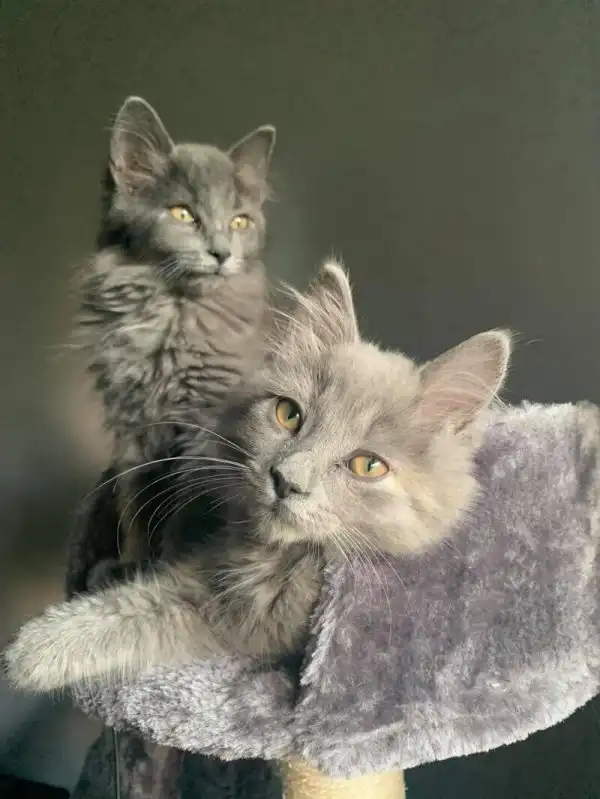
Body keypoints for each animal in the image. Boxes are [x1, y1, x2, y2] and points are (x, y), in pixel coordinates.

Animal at [5, 260, 511, 692]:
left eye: (368, 466)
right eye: (289, 415)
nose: (286, 480)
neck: (268, 551)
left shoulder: (241, 618)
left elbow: (140, 613)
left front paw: (34, 650)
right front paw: (114, 568)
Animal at [68, 96, 276, 580]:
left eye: (239, 222)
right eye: (183, 214)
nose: (221, 253)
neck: (172, 316)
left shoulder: (203, 428)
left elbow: (181, 510)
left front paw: (169, 572)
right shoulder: (135, 432)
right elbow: (138, 509)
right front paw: (136, 565)